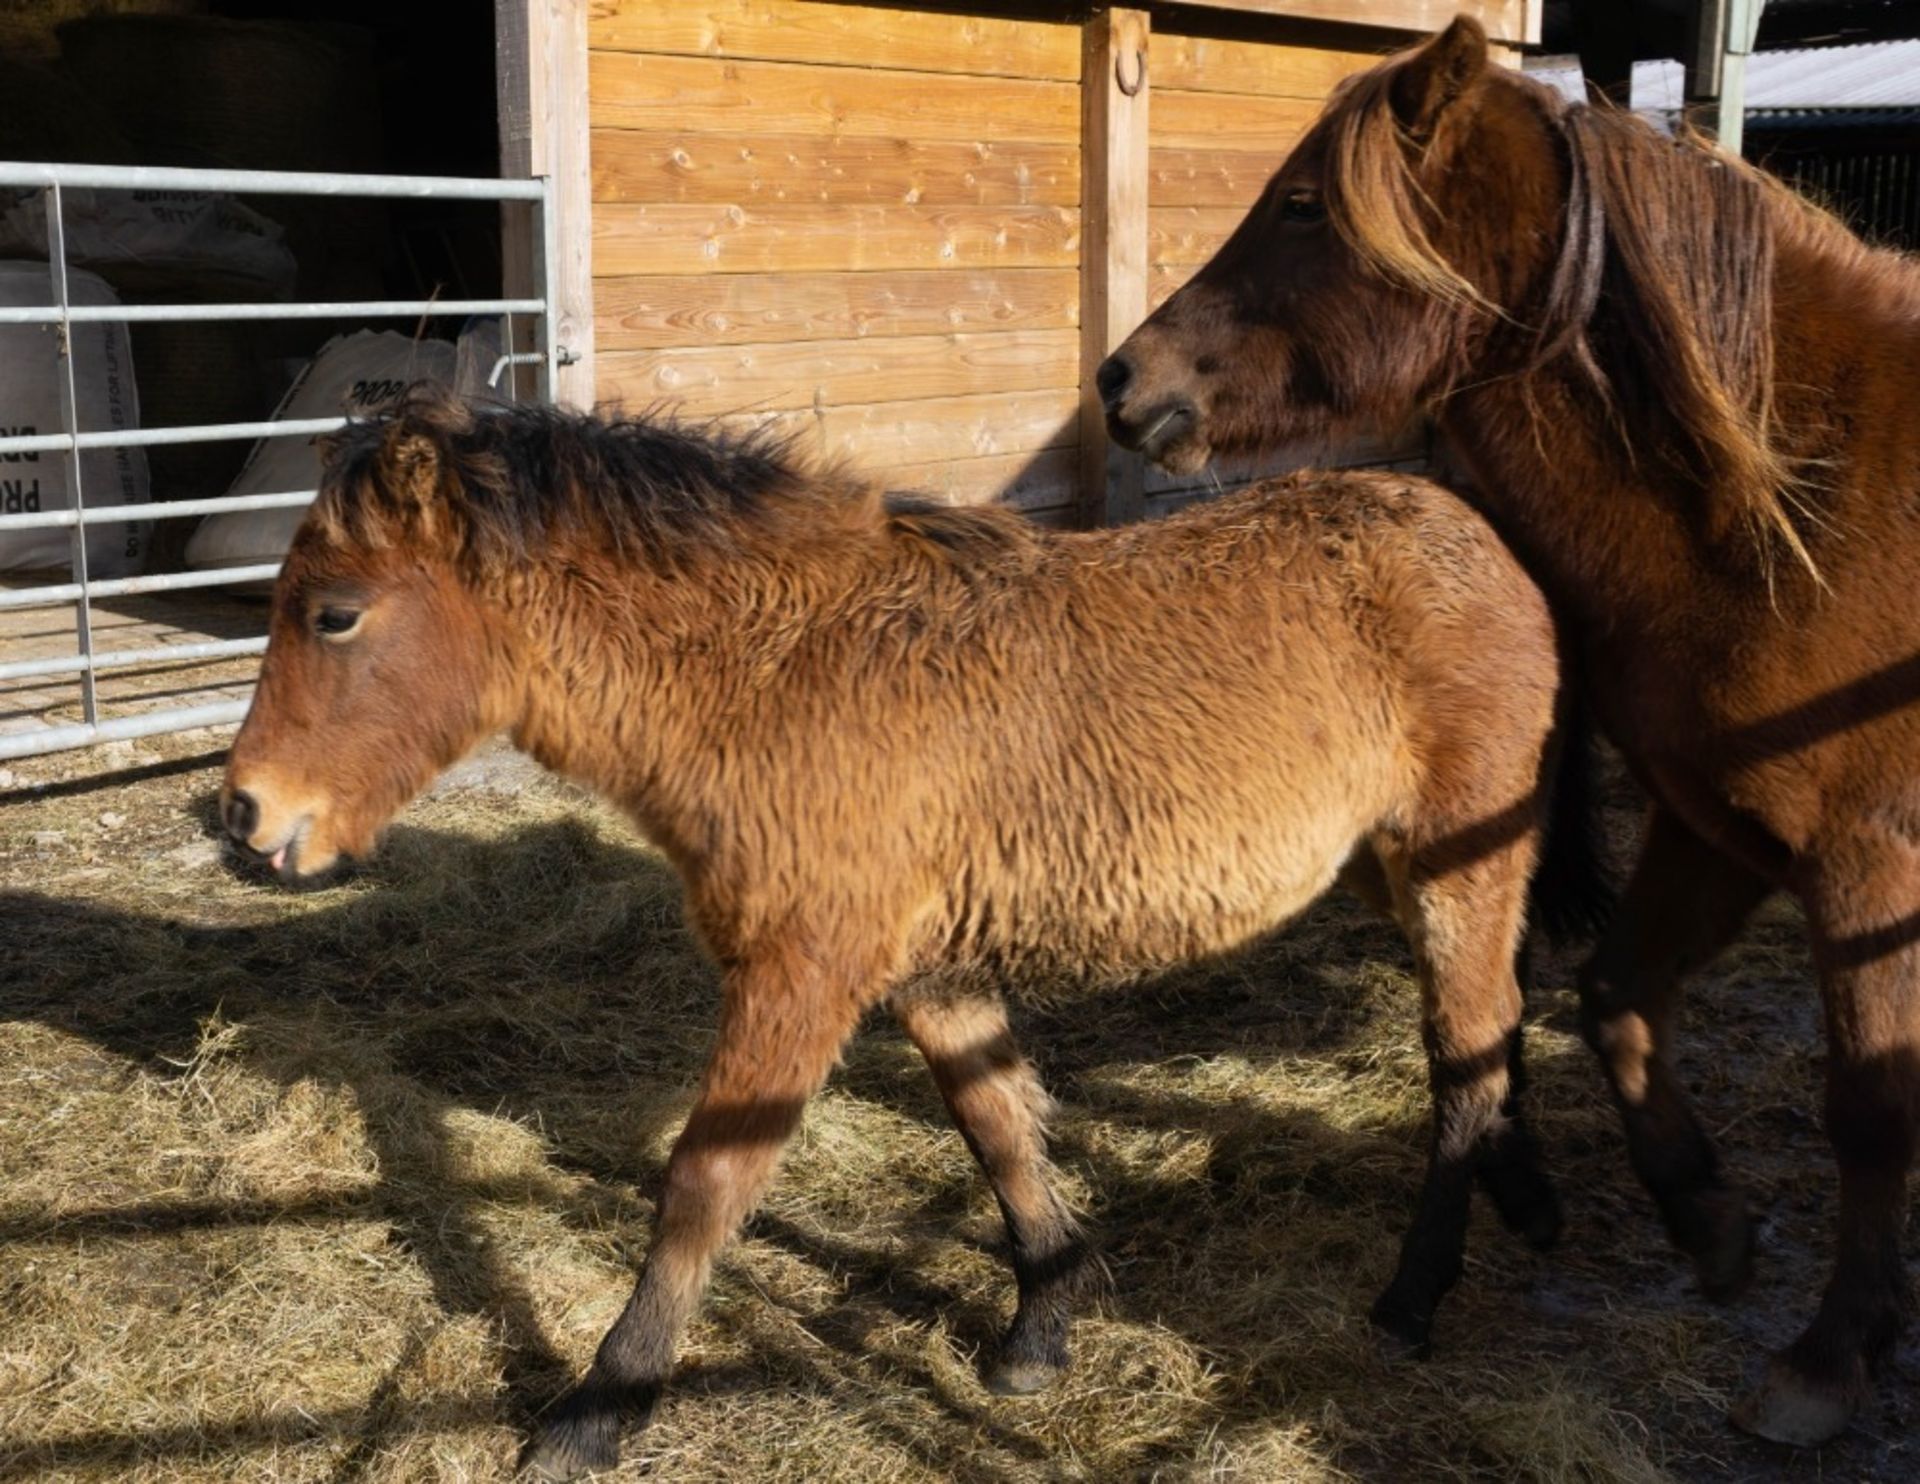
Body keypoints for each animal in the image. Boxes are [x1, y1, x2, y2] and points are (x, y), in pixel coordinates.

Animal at [220, 391, 1589, 1466]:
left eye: (335, 613)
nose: (244, 815)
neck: (779, 672)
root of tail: (1476, 535)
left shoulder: (806, 969)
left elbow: (706, 1183)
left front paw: (600, 1404)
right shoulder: (928, 969)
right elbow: (998, 1123)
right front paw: (1041, 1328)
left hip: (1457, 862)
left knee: (1463, 1057)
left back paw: (1414, 1296)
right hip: (1388, 869)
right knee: (1497, 1023)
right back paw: (1529, 1200)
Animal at [1105, 11, 1920, 1443]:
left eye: (1304, 203)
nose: (1119, 377)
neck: (1808, 502)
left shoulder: (1867, 862)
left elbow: (1870, 1106)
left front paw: (1830, 1355)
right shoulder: (1718, 826)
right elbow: (1614, 995)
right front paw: (1706, 1218)